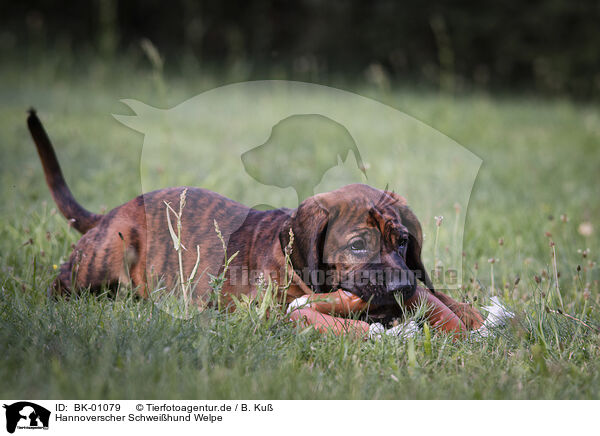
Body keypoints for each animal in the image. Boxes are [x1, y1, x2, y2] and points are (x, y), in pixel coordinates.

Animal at [27, 110, 482, 330]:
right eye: (358, 246)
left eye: (403, 241)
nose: (404, 287)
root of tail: (114, 211)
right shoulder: (267, 312)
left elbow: (446, 297)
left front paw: (475, 317)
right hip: (100, 260)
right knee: (59, 287)